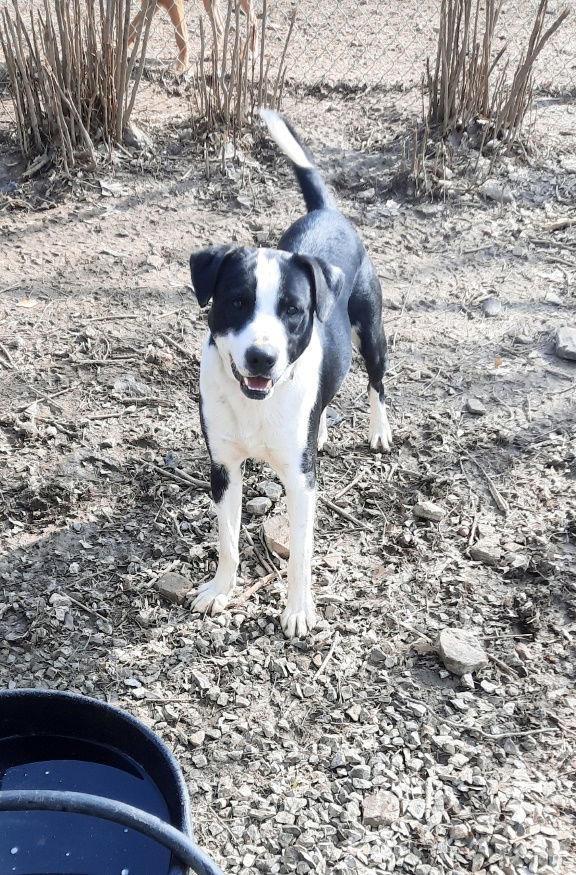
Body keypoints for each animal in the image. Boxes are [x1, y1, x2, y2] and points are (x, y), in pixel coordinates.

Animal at [189, 113, 392, 640]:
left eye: (293, 310)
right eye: (237, 301)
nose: (262, 357)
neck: (258, 404)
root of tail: (327, 212)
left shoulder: (302, 483)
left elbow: (300, 553)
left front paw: (299, 610)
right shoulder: (223, 466)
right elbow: (228, 538)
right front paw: (220, 590)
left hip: (373, 332)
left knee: (376, 382)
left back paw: (380, 429)